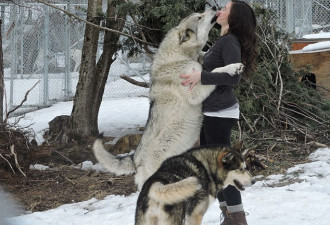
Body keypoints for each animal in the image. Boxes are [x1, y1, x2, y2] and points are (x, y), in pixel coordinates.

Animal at [91, 6, 244, 190]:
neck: (181, 56)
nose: (214, 7)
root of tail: (135, 159)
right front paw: (233, 67)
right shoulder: (195, 90)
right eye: (199, 17)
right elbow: (215, 71)